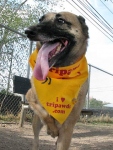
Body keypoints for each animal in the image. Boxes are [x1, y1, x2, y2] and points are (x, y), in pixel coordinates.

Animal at [25, 11, 89, 150]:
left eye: (60, 21)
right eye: (40, 20)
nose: (27, 31)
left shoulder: (67, 129)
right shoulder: (30, 98)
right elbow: (43, 112)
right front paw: (52, 129)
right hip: (35, 125)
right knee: (36, 141)